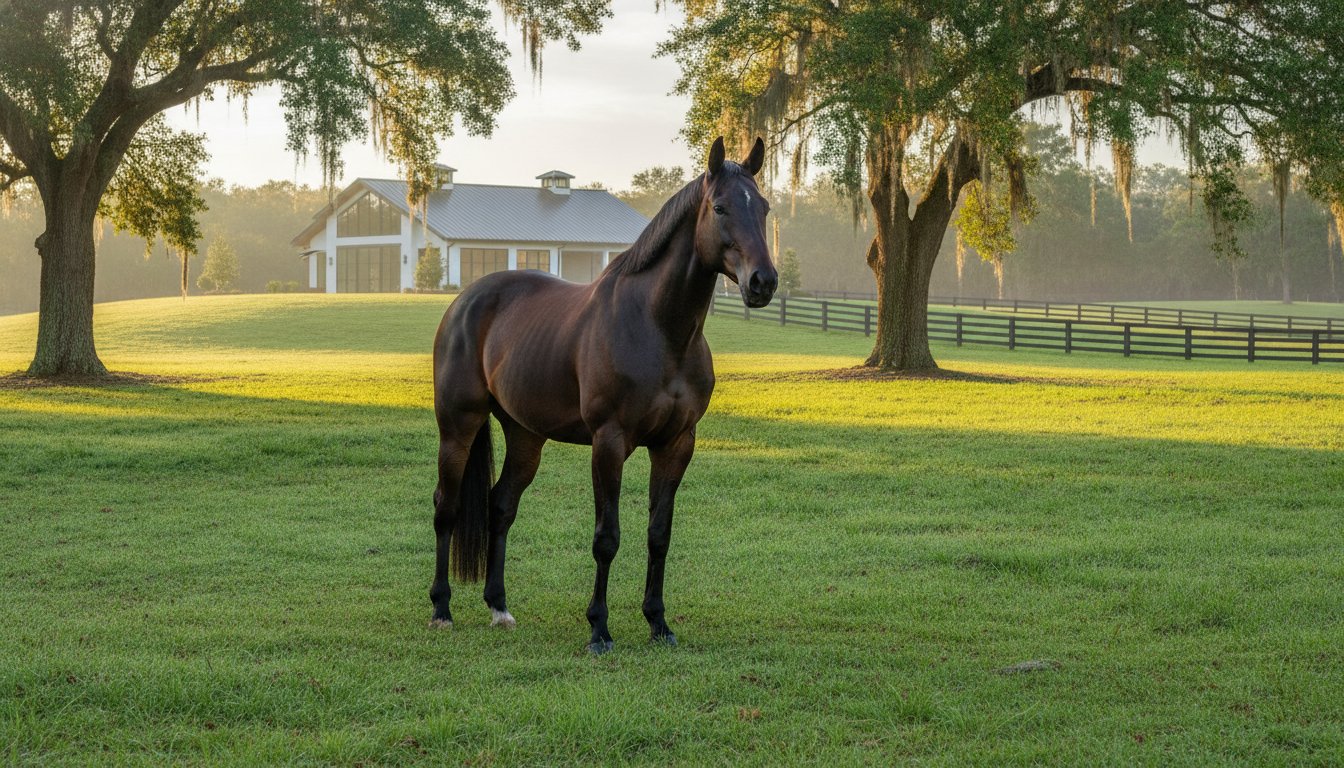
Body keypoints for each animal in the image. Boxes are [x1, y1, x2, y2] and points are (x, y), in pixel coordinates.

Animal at [429, 137, 776, 654]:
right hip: (458, 427)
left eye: (765, 208)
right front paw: (599, 628)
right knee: (445, 507)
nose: (763, 282)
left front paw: (658, 623)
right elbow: (606, 537)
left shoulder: (676, 444)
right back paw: (441, 609)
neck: (659, 329)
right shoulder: (609, 443)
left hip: (526, 436)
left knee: (500, 506)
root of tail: (465, 301)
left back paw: (499, 607)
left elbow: (659, 534)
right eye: (720, 207)